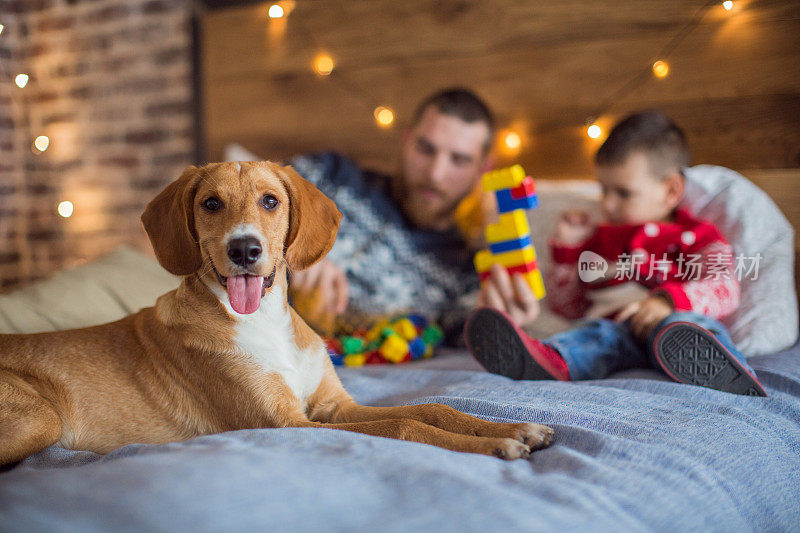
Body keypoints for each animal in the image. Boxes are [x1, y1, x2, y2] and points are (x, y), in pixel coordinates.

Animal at [0, 160, 552, 464]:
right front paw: (496, 446)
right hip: (40, 419)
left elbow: (428, 409)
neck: (262, 322)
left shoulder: (333, 407)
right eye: (210, 204)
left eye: (270, 201)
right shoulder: (288, 425)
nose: (244, 249)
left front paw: (511, 428)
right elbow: (403, 428)